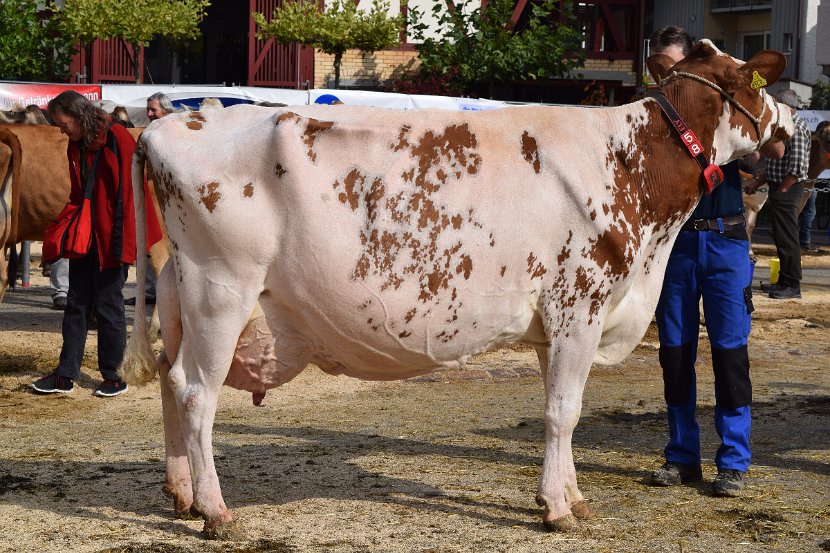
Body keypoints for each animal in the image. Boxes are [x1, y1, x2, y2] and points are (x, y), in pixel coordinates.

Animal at [120, 41, 796, 536]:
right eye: (755, 81)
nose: (792, 125)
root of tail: (170, 124)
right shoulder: (579, 304)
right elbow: (563, 411)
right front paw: (557, 509)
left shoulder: (557, 325)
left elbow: (562, 410)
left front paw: (571, 495)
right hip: (223, 290)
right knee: (197, 394)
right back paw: (215, 511)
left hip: (181, 290)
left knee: (170, 380)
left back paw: (180, 492)